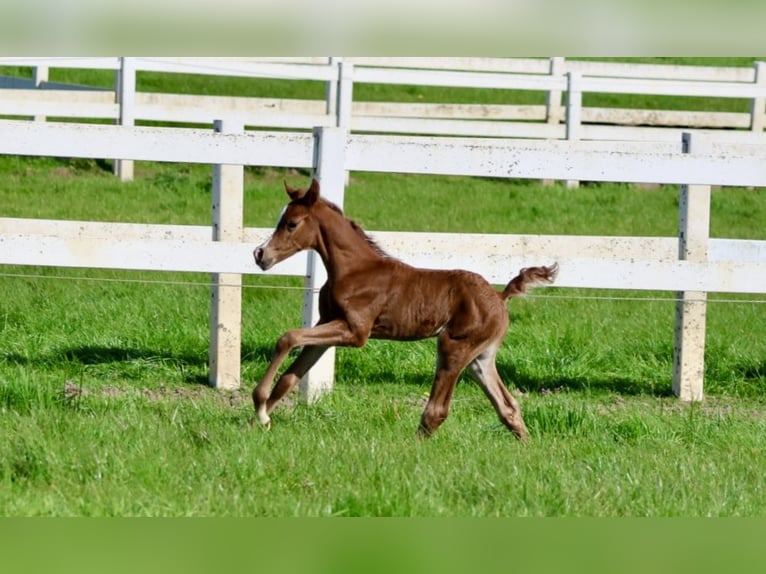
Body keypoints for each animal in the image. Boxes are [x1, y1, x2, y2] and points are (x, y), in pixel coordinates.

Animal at [254, 180, 560, 440]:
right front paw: (259, 421)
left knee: (437, 410)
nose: (260, 255)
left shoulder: (354, 332)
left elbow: (288, 337)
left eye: (291, 224)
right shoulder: (327, 324)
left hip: (453, 346)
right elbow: (290, 376)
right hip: (480, 357)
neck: (354, 270)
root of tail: (499, 296)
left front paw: (260, 410)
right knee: (507, 407)